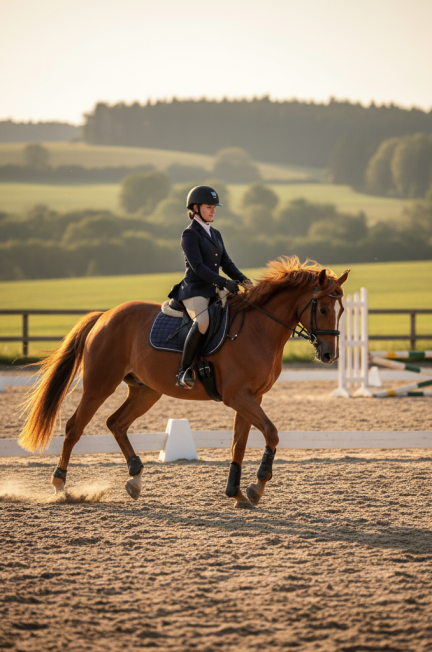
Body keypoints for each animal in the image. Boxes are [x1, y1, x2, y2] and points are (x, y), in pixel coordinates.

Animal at [19, 256, 349, 509]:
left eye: (342, 311)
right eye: (322, 309)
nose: (329, 355)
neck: (259, 329)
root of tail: (105, 315)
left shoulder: (252, 397)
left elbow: (238, 444)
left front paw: (237, 495)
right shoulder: (238, 396)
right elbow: (271, 432)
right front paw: (256, 488)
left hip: (145, 391)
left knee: (116, 423)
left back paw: (135, 479)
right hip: (100, 384)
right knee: (75, 427)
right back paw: (59, 486)